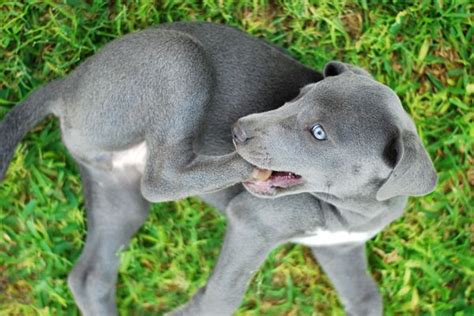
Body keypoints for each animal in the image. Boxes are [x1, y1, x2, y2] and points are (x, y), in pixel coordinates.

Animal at [0, 21, 436, 314]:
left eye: (318, 133)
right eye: (298, 96)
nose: (238, 132)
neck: (354, 208)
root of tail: (68, 86)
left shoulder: (339, 247)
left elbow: (367, 297)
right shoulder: (252, 221)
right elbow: (222, 296)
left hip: (117, 194)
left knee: (90, 276)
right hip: (178, 59)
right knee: (161, 178)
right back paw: (239, 167)